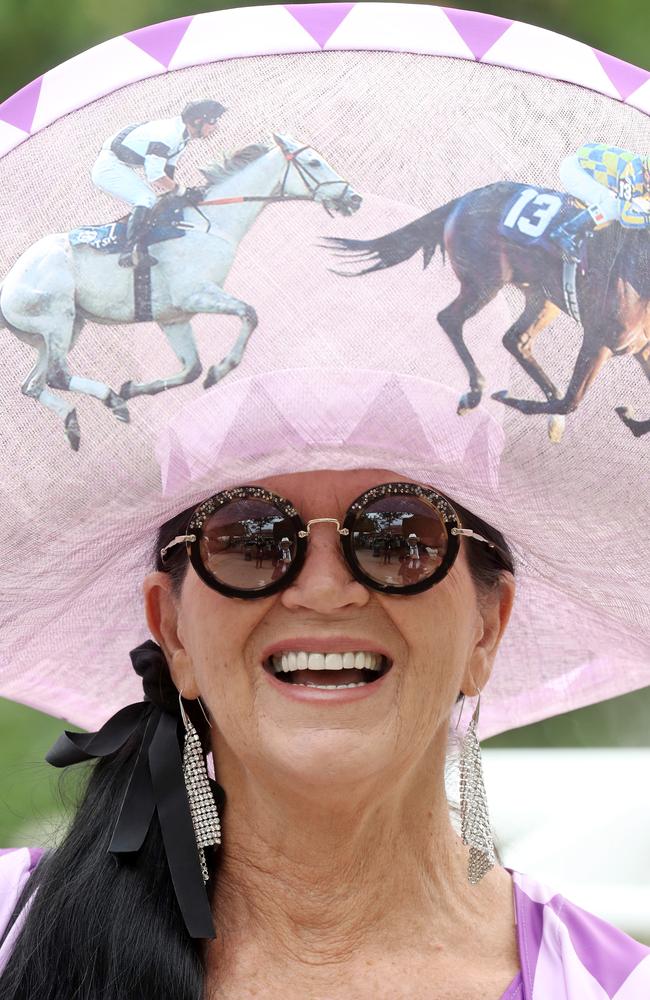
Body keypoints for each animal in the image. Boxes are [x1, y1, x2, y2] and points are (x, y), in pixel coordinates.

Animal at [0, 134, 360, 450]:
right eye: (313, 162)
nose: (354, 197)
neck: (209, 223)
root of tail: (7, 284)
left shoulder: (174, 318)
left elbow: (192, 369)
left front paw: (134, 387)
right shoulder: (195, 294)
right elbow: (249, 314)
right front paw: (221, 369)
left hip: (59, 331)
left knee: (32, 384)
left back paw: (74, 423)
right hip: (58, 320)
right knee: (58, 375)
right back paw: (111, 400)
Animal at [326, 184, 644, 442]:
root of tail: (464, 199)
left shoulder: (641, 349)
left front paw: (630, 419)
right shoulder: (600, 339)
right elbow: (571, 400)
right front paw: (509, 399)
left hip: (542, 297)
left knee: (516, 340)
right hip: (485, 281)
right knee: (451, 319)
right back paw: (476, 394)